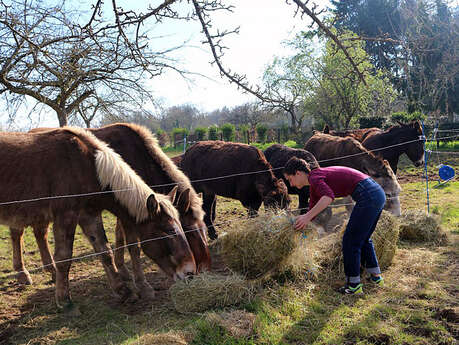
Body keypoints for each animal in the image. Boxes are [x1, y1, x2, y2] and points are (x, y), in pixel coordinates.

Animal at [0, 127, 195, 312]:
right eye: (168, 231)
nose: (190, 272)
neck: (85, 164)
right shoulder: (66, 214)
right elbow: (64, 257)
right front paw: (65, 302)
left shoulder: (89, 214)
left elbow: (105, 251)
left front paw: (124, 291)